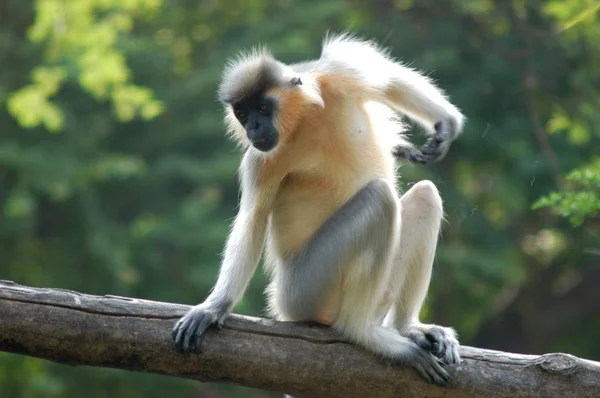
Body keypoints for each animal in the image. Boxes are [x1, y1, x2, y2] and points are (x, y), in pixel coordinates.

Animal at [172, 32, 464, 388]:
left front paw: (446, 125)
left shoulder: (335, 75)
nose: (253, 127)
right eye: (242, 113)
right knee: (380, 199)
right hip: (303, 291)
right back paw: (363, 332)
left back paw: (407, 326)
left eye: (262, 108)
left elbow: (389, 80)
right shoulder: (262, 159)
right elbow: (252, 220)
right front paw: (213, 307)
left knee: (425, 195)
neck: (303, 122)